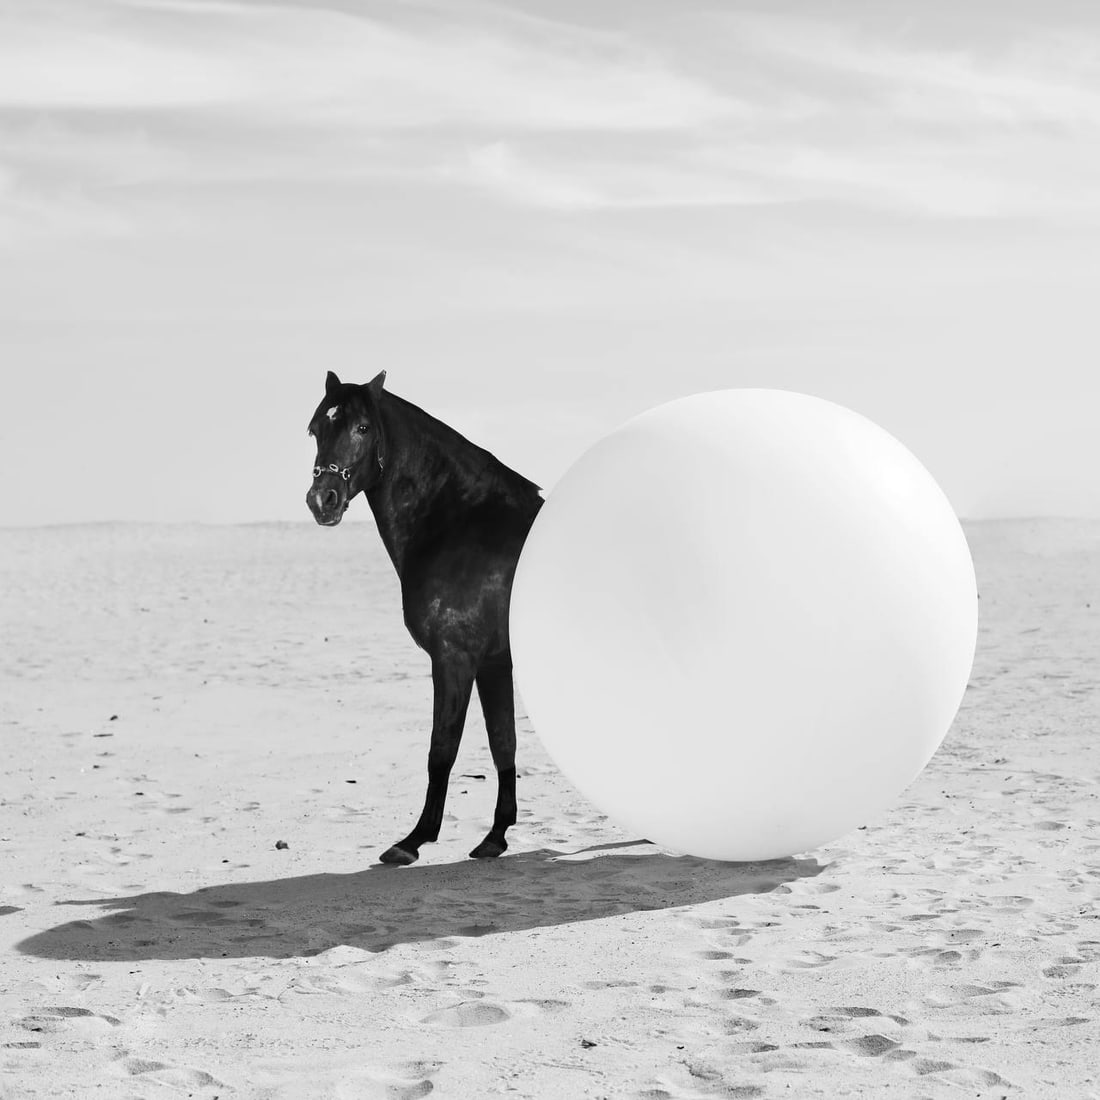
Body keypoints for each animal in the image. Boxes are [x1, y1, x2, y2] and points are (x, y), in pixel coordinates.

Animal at [305, 370, 544, 865]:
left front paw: (413, 840)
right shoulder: (495, 664)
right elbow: (503, 742)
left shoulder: (454, 659)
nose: (323, 501)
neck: (463, 527)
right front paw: (496, 836)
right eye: (316, 429)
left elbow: (442, 749)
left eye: (362, 428)